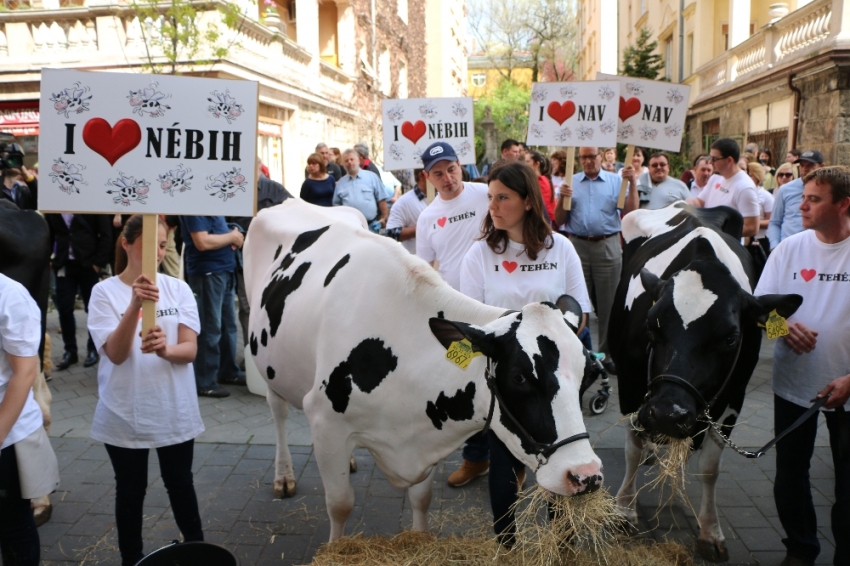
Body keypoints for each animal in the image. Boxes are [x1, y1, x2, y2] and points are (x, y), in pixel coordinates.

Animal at [242, 200, 604, 540]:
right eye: (518, 377)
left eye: (588, 374)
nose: (585, 475)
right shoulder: (323, 420)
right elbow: (340, 504)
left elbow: (421, 498)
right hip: (268, 365)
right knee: (277, 411)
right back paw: (284, 477)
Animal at [608, 203, 800, 564]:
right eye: (651, 325)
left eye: (731, 337)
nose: (667, 413)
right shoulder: (629, 384)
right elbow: (632, 449)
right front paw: (625, 511)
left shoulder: (734, 398)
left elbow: (710, 467)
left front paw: (710, 532)